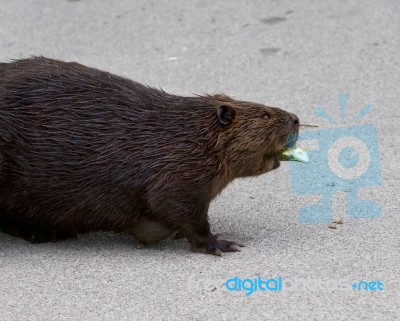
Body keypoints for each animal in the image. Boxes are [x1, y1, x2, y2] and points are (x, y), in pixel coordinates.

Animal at [0, 56, 300, 254]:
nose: (296, 119)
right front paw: (221, 243)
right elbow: (173, 207)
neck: (187, 134)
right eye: (265, 115)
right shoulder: (177, 172)